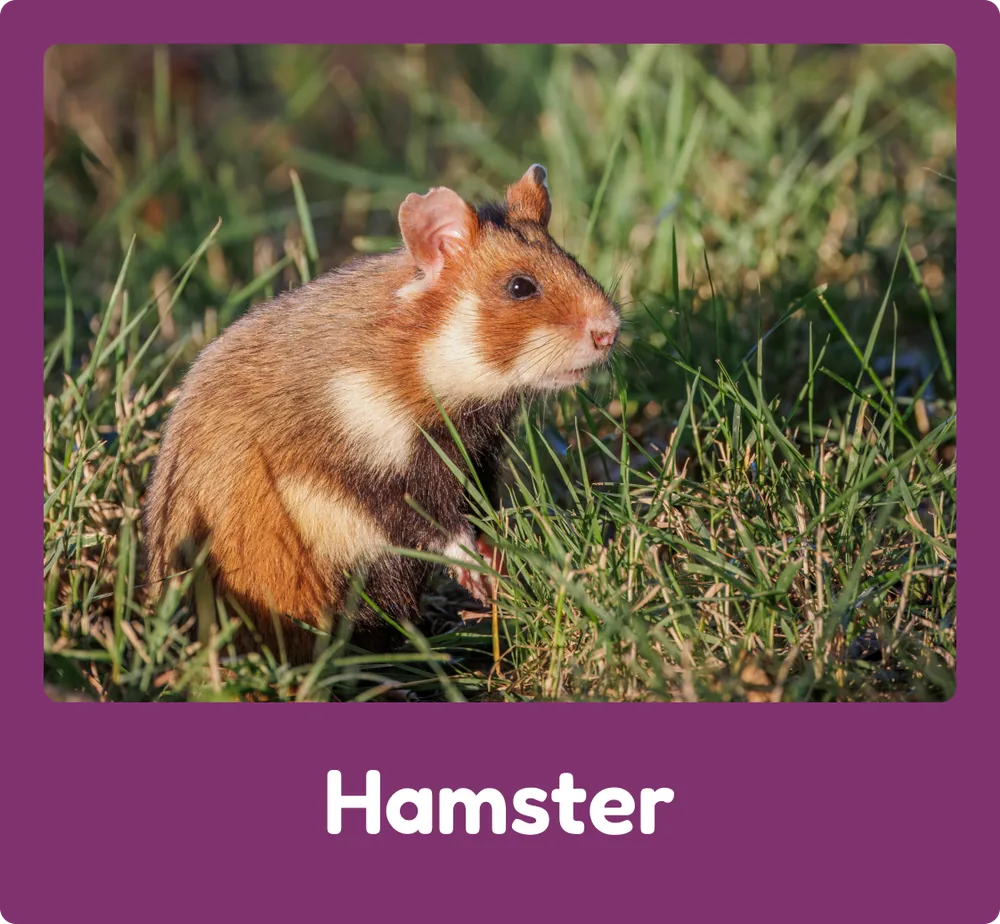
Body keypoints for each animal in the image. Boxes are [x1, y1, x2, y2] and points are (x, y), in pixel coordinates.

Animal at [143, 164, 620, 663]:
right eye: (520, 286)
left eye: (572, 259)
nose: (610, 331)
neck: (423, 361)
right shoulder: (373, 470)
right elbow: (436, 524)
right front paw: (478, 576)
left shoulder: (478, 456)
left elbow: (480, 513)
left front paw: (500, 566)